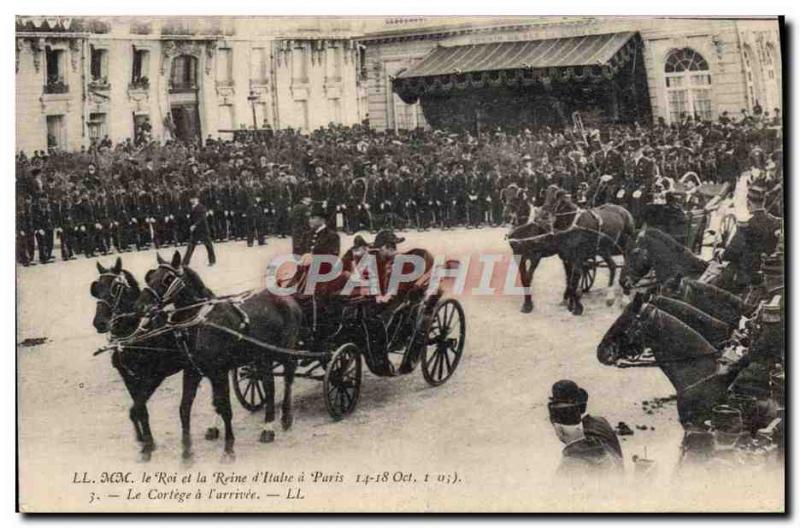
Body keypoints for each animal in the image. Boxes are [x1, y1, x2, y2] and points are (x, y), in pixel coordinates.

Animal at [134, 250, 304, 460]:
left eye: (167, 279)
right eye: (150, 277)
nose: (140, 306)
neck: (201, 321)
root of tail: (287, 298)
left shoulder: (219, 372)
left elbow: (225, 408)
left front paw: (228, 449)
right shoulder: (193, 372)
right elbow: (187, 407)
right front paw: (188, 451)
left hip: (284, 351)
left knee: (288, 376)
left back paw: (286, 417)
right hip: (261, 357)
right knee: (269, 385)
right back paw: (268, 427)